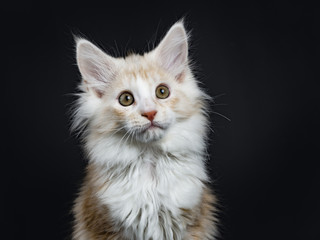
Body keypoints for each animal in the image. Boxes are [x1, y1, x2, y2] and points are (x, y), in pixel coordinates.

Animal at [71, 20, 219, 240]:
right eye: (126, 99)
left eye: (162, 92)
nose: (150, 113)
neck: (151, 165)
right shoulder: (104, 225)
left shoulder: (193, 221)